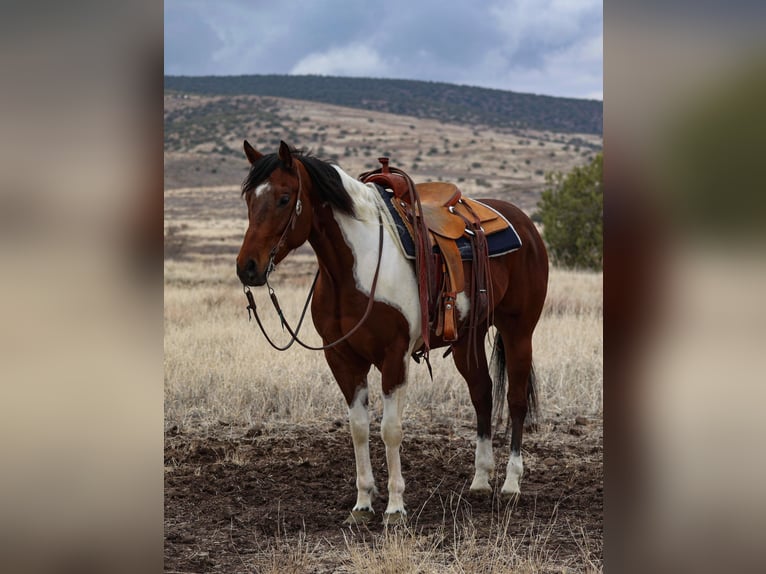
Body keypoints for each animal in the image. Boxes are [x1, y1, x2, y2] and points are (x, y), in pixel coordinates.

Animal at [237, 141, 548, 528]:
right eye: (248, 199)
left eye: (283, 198)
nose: (247, 268)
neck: (353, 266)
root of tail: (523, 222)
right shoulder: (342, 357)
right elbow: (358, 428)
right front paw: (362, 504)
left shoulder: (394, 357)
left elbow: (390, 429)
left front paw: (395, 507)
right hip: (468, 339)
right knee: (482, 395)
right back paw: (479, 480)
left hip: (518, 330)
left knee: (516, 400)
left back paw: (511, 484)